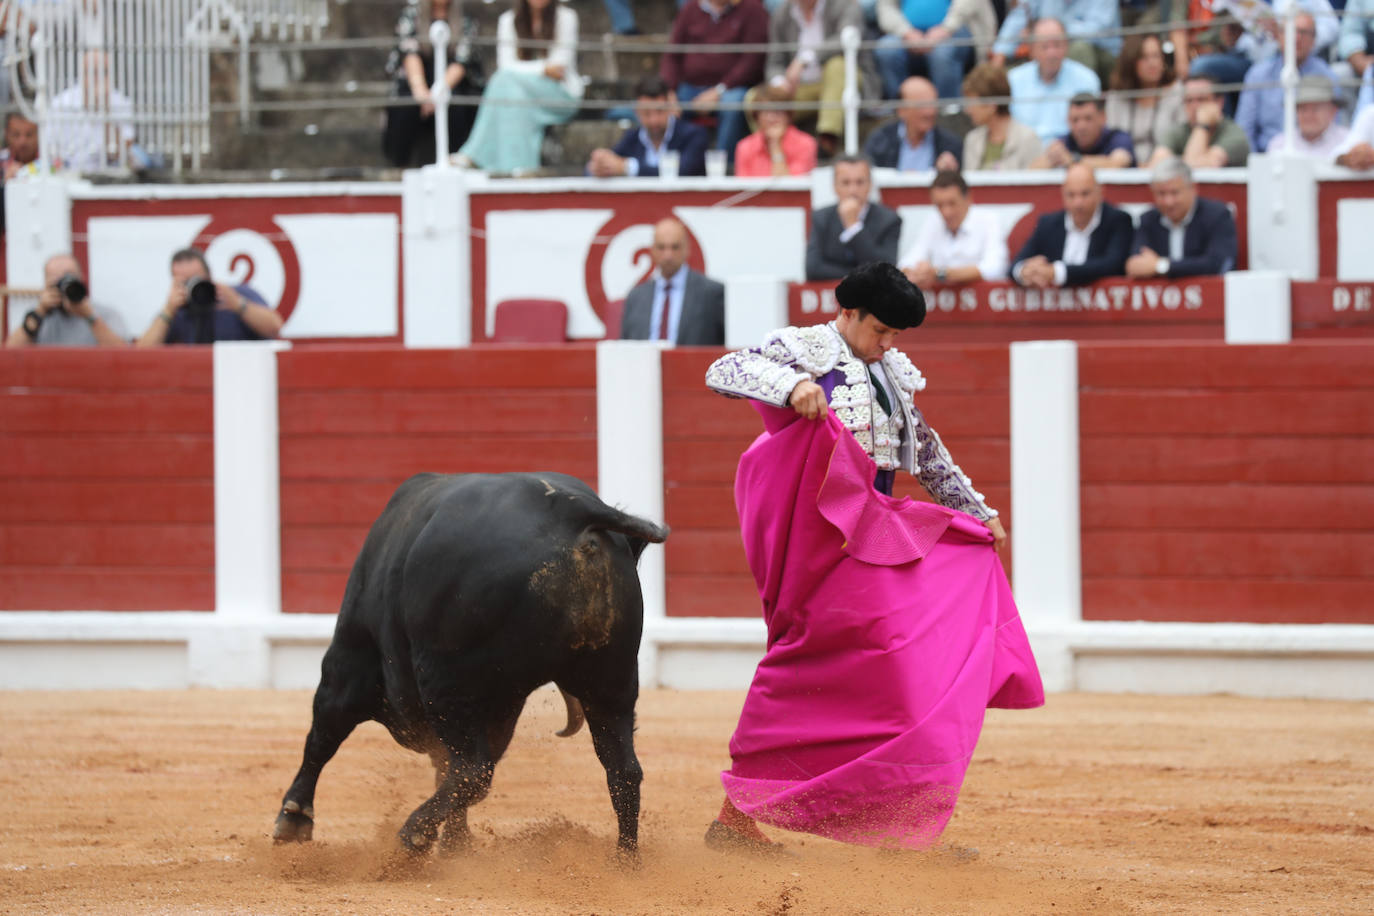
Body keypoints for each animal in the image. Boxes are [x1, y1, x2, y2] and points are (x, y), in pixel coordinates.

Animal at [270, 472, 667, 862]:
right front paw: (456, 843)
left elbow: (324, 732)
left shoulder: (349, 661)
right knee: (622, 769)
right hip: (611, 679)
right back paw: (625, 861)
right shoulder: (503, 704)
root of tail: (572, 509)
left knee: (473, 769)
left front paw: (293, 817)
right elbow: (448, 768)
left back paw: (412, 836)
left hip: (446, 681)